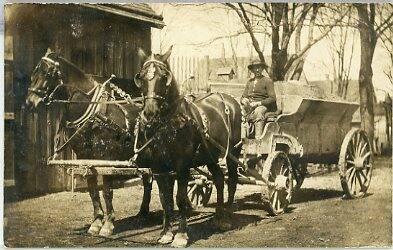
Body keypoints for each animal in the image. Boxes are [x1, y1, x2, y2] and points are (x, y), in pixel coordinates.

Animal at [25, 50, 152, 236]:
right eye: (34, 72)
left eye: (47, 73)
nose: (29, 102)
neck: (94, 115)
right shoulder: (86, 158)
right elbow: (92, 191)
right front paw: (97, 222)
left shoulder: (107, 159)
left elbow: (106, 191)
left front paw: (108, 224)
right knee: (148, 180)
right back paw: (143, 212)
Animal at [133, 46, 240, 246]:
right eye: (141, 77)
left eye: (163, 77)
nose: (150, 113)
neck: (169, 123)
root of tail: (230, 99)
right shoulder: (159, 168)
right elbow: (165, 200)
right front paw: (166, 233)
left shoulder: (182, 166)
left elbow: (180, 199)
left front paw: (181, 235)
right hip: (211, 156)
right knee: (219, 179)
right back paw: (219, 217)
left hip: (233, 153)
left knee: (232, 181)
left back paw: (227, 217)